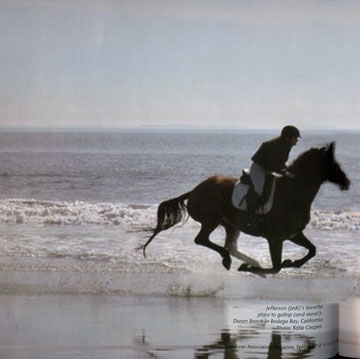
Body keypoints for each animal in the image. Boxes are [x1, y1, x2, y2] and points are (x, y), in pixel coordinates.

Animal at [139, 143, 350, 276]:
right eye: (334, 164)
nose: (346, 182)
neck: (294, 192)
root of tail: (194, 191)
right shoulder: (276, 238)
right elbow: (276, 268)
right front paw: (251, 268)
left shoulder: (292, 234)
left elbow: (312, 250)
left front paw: (293, 262)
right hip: (211, 220)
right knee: (202, 240)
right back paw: (230, 261)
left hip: (231, 224)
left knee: (229, 246)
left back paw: (244, 260)